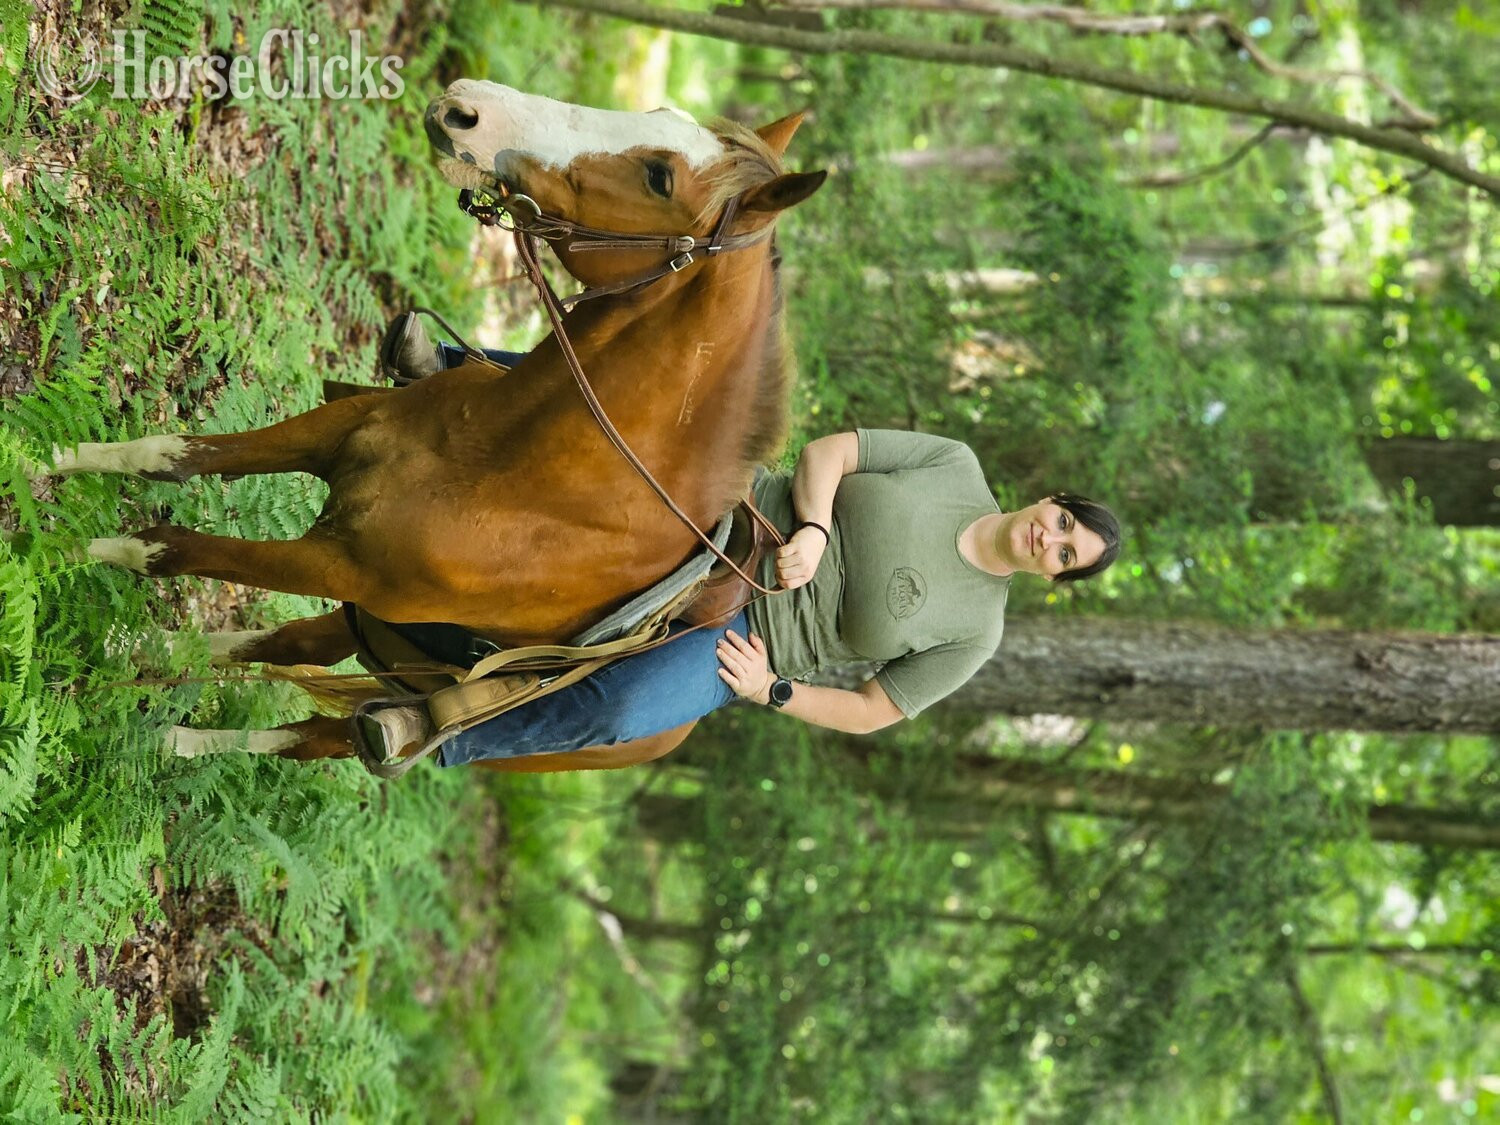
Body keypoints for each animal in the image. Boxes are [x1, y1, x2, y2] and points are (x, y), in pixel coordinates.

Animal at [34, 82, 825, 772]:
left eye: (661, 178)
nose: (465, 107)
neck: (508, 462)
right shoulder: (334, 433)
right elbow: (171, 455)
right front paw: (48, 458)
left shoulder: (332, 563)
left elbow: (170, 550)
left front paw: (59, 548)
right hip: (376, 631)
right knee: (286, 646)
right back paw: (140, 656)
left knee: (312, 733)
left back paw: (176, 732)